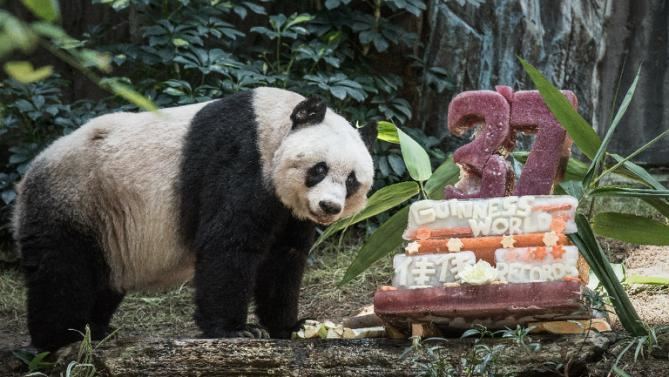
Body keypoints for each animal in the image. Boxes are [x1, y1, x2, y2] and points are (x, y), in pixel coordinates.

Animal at [11, 87, 376, 350]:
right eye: (319, 169)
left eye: (351, 181)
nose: (329, 207)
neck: (272, 128)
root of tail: (29, 172)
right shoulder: (239, 159)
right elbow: (229, 244)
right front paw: (236, 331)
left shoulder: (288, 209)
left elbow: (283, 258)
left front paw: (292, 326)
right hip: (75, 198)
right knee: (62, 270)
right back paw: (62, 337)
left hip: (107, 224)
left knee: (102, 279)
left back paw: (98, 329)